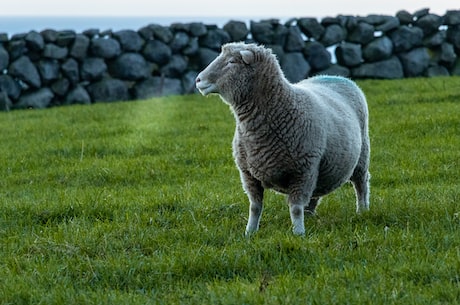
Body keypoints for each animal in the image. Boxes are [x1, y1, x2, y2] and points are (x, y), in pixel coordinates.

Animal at [195, 41, 370, 234]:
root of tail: (334, 76)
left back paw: (362, 210)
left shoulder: (302, 171)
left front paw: (298, 233)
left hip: (360, 155)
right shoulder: (248, 174)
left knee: (361, 182)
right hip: (319, 169)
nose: (198, 80)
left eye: (232, 62)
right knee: (315, 193)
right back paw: (310, 215)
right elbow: (255, 207)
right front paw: (250, 232)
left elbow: (295, 208)